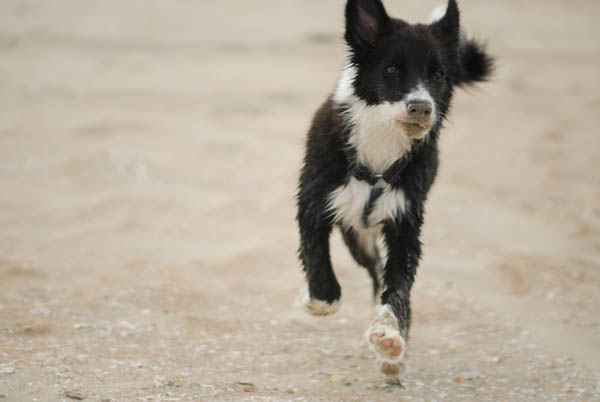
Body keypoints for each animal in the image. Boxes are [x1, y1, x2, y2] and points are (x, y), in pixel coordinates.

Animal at [296, 0, 492, 376]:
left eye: (438, 75)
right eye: (390, 70)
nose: (421, 107)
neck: (381, 146)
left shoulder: (405, 220)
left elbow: (399, 283)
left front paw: (388, 335)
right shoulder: (314, 199)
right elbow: (316, 259)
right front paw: (318, 301)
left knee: (381, 275)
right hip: (357, 233)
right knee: (372, 266)